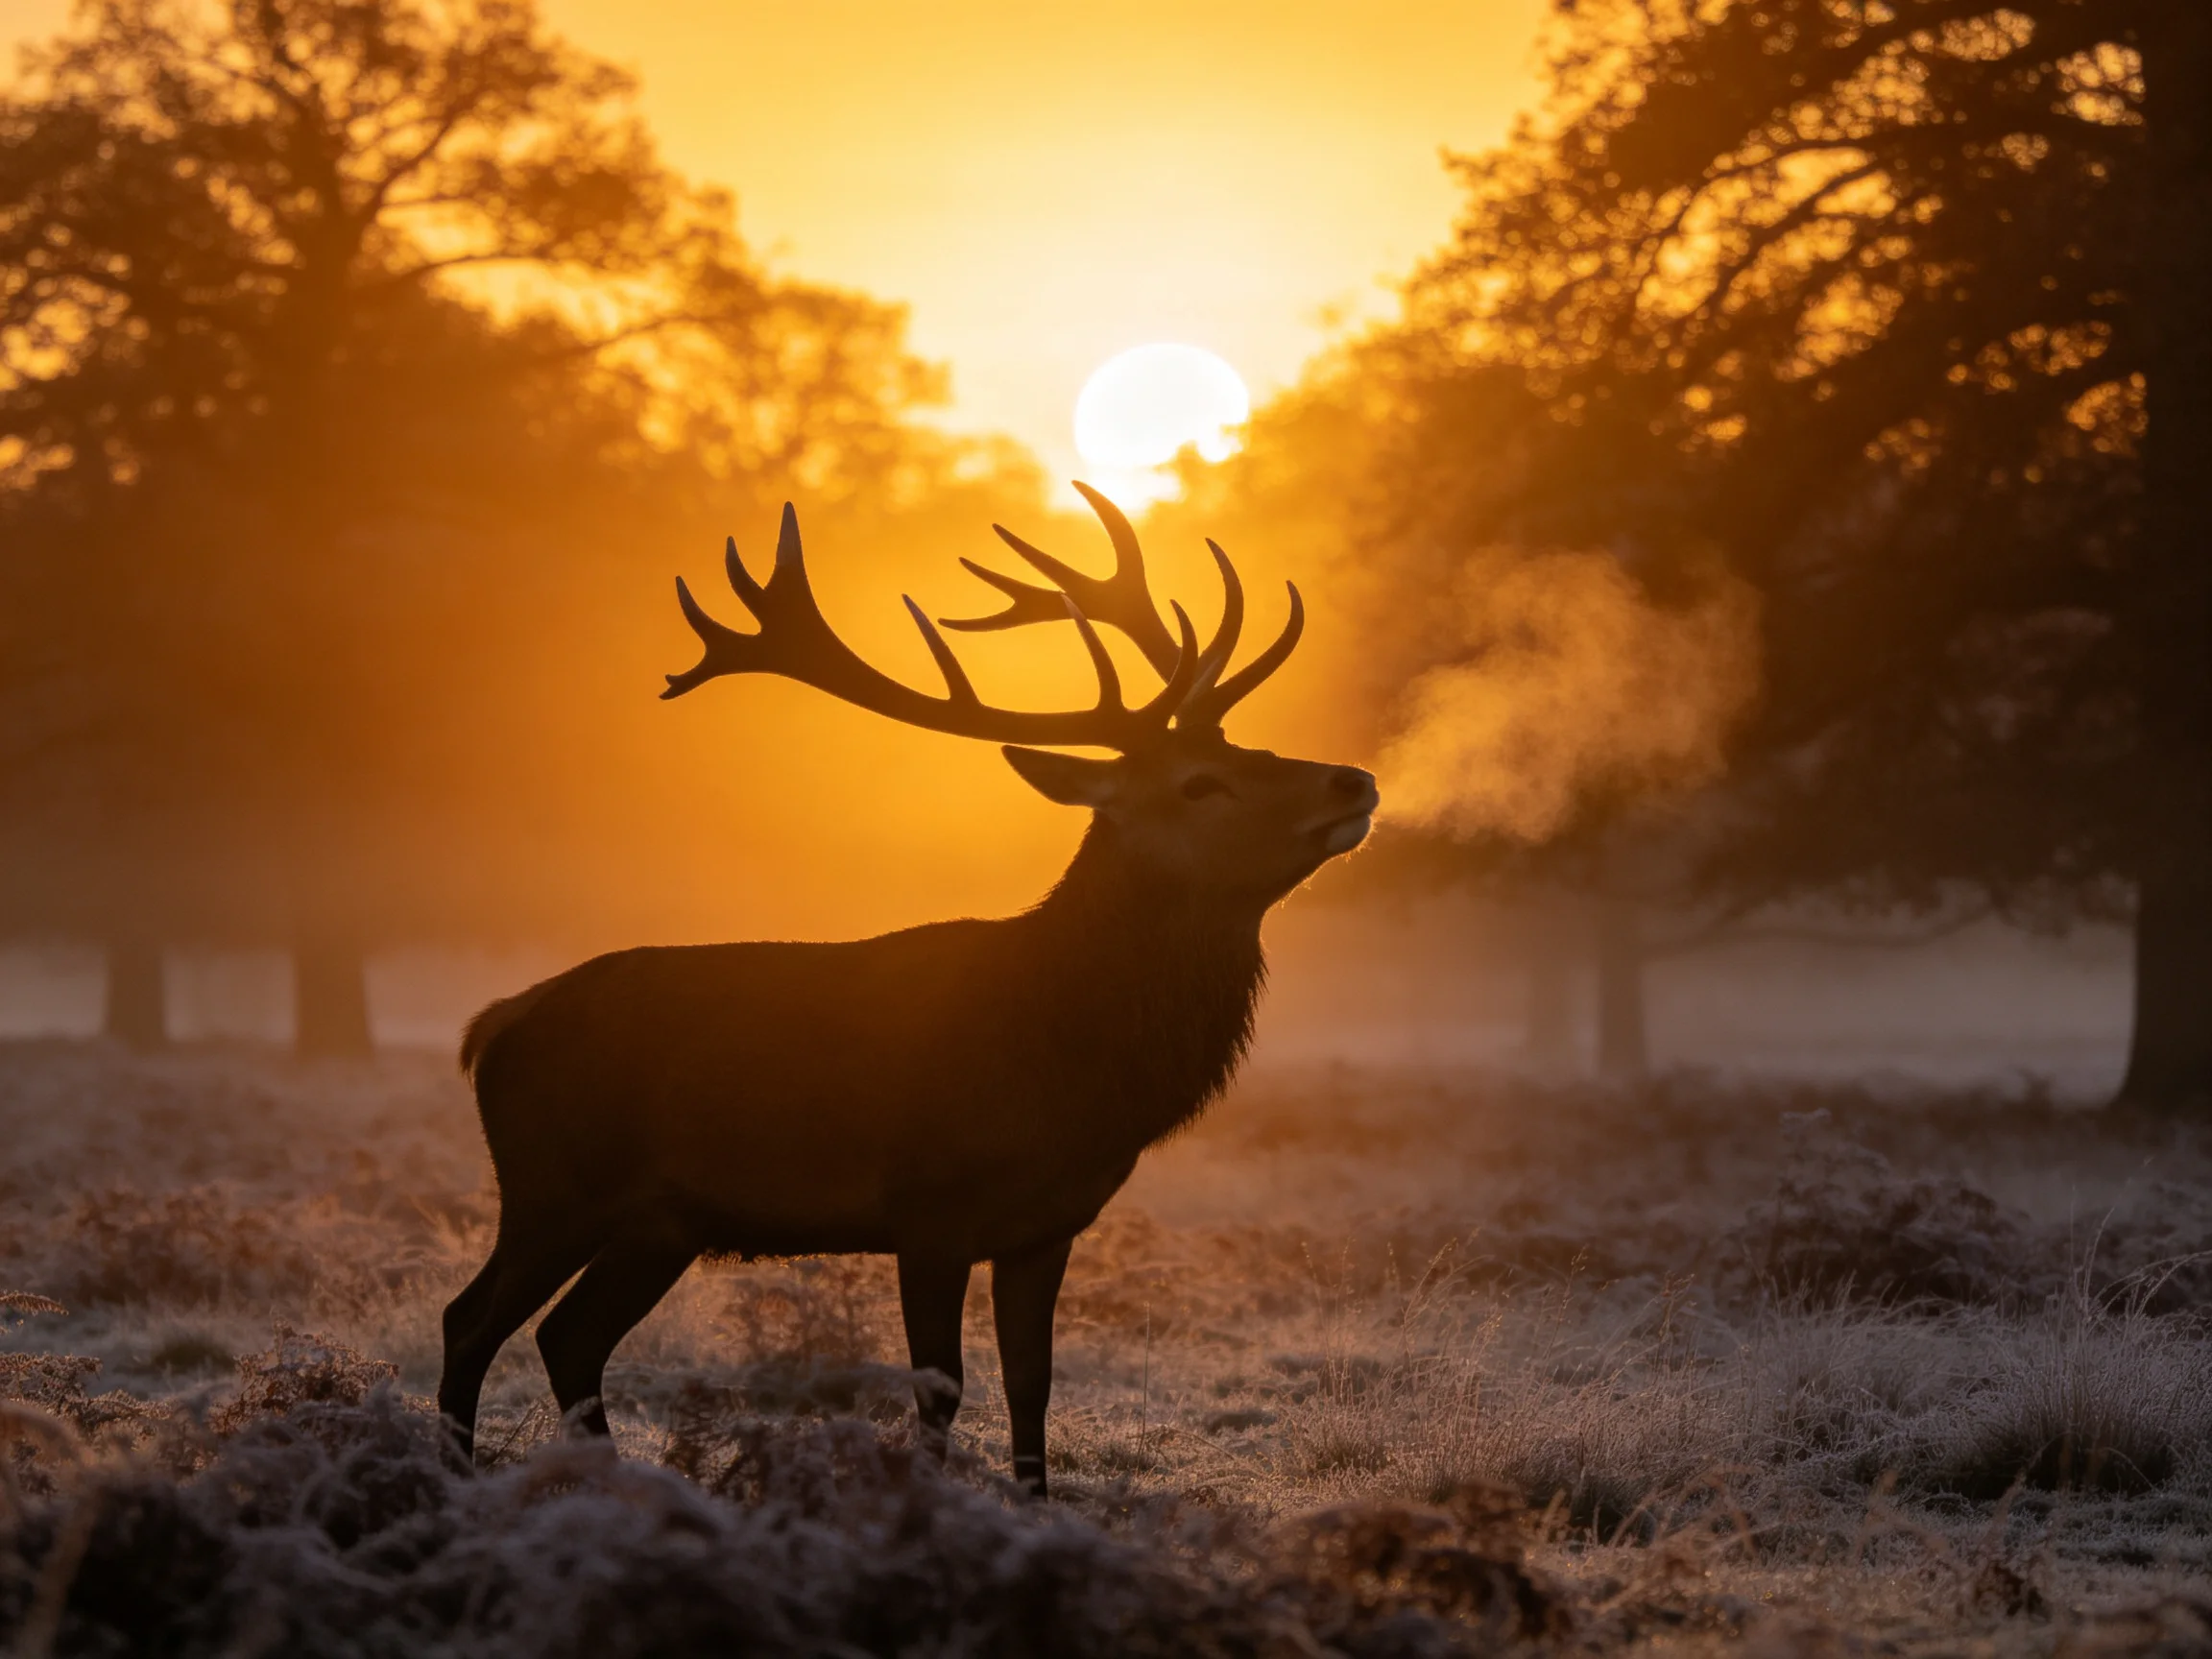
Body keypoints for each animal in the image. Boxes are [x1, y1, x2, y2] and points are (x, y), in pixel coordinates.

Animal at [437, 485, 1378, 1494]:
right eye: (1199, 782)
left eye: (1253, 745)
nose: (1354, 779)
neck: (1066, 1057)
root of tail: (492, 1028)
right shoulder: (929, 1208)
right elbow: (941, 1386)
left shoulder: (1048, 1225)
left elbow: (1032, 1383)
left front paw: (1035, 1506)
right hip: (552, 1186)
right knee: (472, 1318)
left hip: (661, 1221)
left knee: (567, 1335)